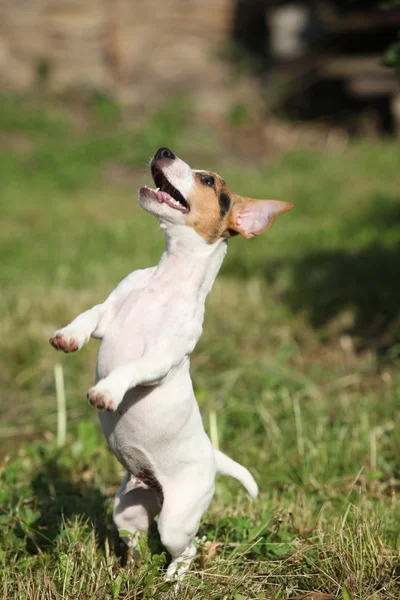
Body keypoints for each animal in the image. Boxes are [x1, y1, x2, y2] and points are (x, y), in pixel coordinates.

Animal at [50, 146, 294, 580]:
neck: (164, 281)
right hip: (127, 509)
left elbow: (129, 369)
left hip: (177, 521)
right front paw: (68, 337)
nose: (164, 150)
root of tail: (212, 456)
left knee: (188, 549)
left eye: (208, 180)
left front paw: (106, 391)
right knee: (134, 538)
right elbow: (88, 316)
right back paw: (128, 569)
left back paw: (173, 580)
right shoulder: (108, 313)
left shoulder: (161, 358)